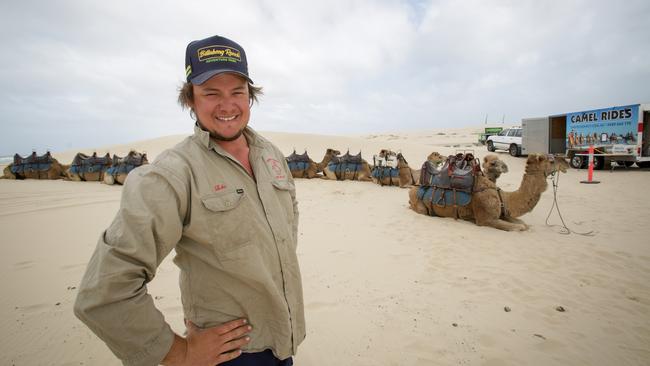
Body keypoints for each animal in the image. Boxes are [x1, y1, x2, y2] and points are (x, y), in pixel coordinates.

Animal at [410, 154, 568, 232]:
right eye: (551, 160)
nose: (566, 162)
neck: (503, 196)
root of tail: (413, 187)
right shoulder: (486, 219)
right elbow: (520, 228)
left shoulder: (503, 212)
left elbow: (523, 224)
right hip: (419, 205)